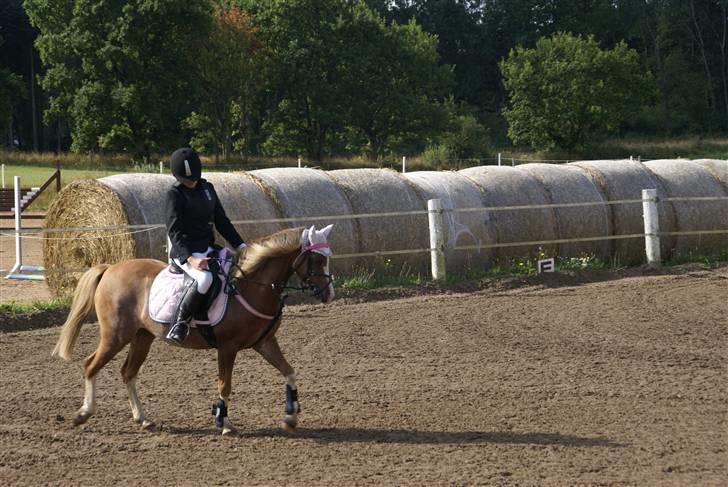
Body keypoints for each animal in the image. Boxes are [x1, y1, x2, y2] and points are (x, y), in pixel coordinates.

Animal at [53, 225, 336, 434]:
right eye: (318, 259)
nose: (329, 294)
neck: (252, 286)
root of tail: (110, 267)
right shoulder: (227, 348)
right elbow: (225, 385)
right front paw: (224, 423)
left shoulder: (265, 343)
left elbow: (289, 372)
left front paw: (290, 416)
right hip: (115, 336)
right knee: (91, 366)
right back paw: (83, 414)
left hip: (142, 337)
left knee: (128, 373)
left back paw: (143, 419)